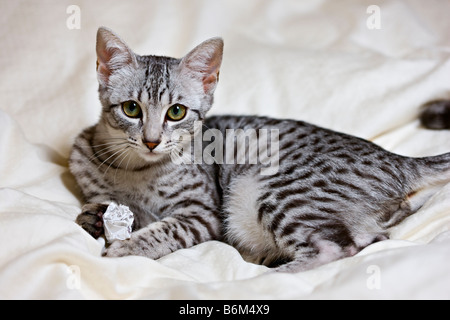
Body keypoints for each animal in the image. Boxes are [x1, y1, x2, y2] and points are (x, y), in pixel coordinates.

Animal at [69, 28, 450, 272]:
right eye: (131, 109)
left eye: (175, 112)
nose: (151, 140)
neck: (134, 171)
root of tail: (399, 160)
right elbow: (113, 209)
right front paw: (98, 218)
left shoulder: (203, 212)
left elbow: (166, 229)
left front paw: (128, 246)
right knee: (372, 239)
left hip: (268, 190)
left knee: (338, 247)